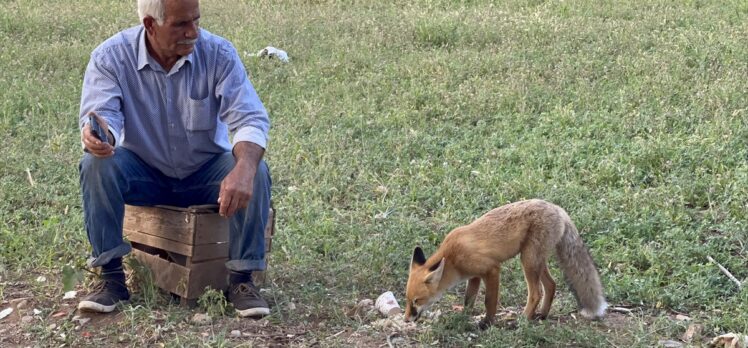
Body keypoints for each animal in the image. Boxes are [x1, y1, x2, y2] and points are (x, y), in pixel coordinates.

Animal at [404, 200, 608, 328]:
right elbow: (468, 299)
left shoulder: (492, 269)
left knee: (536, 293)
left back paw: (523, 320)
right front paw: (463, 317)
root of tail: (558, 209)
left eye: (417, 301)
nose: (406, 319)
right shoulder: (475, 276)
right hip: (536, 261)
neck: (453, 258)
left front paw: (486, 323)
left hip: (528, 260)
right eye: (407, 300)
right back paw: (542, 315)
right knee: (551, 285)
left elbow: (489, 301)